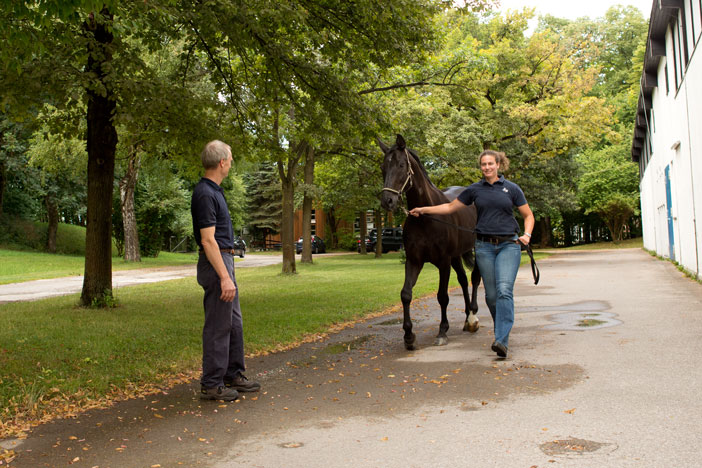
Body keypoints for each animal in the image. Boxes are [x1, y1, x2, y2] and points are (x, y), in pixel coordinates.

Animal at [380, 133, 484, 350]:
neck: (426, 215)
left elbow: (442, 296)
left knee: (474, 278)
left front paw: (442, 331)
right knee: (463, 280)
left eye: (401, 165)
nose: (387, 201)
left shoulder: (443, 262)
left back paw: (472, 318)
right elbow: (406, 294)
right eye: (383, 167)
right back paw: (466, 318)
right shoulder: (414, 261)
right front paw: (409, 336)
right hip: (456, 256)